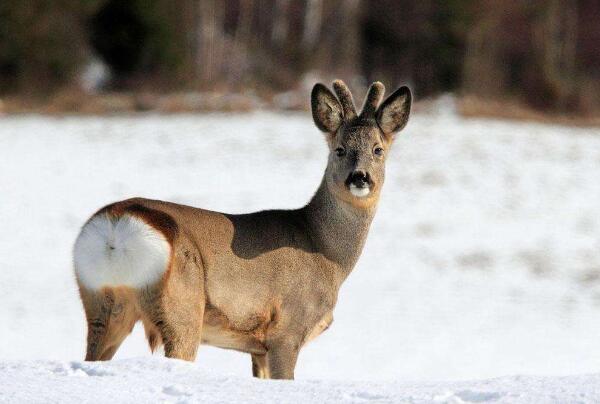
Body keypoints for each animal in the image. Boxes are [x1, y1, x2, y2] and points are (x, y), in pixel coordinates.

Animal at [72, 79, 410, 378]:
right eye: (339, 149)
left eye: (378, 149)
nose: (360, 177)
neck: (324, 251)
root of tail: (116, 227)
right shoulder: (287, 329)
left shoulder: (257, 347)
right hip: (182, 305)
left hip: (101, 304)